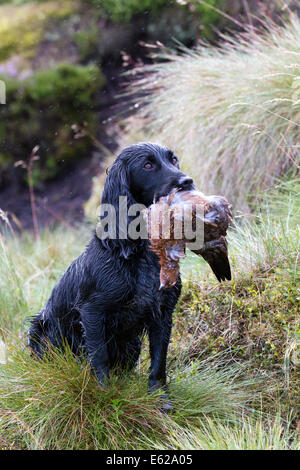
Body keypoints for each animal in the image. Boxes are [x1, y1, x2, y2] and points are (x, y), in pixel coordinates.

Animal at [28, 141, 195, 410]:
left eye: (174, 160)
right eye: (147, 165)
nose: (187, 181)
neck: (137, 252)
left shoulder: (163, 312)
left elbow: (159, 361)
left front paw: (160, 399)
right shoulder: (92, 312)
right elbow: (100, 357)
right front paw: (105, 395)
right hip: (40, 332)